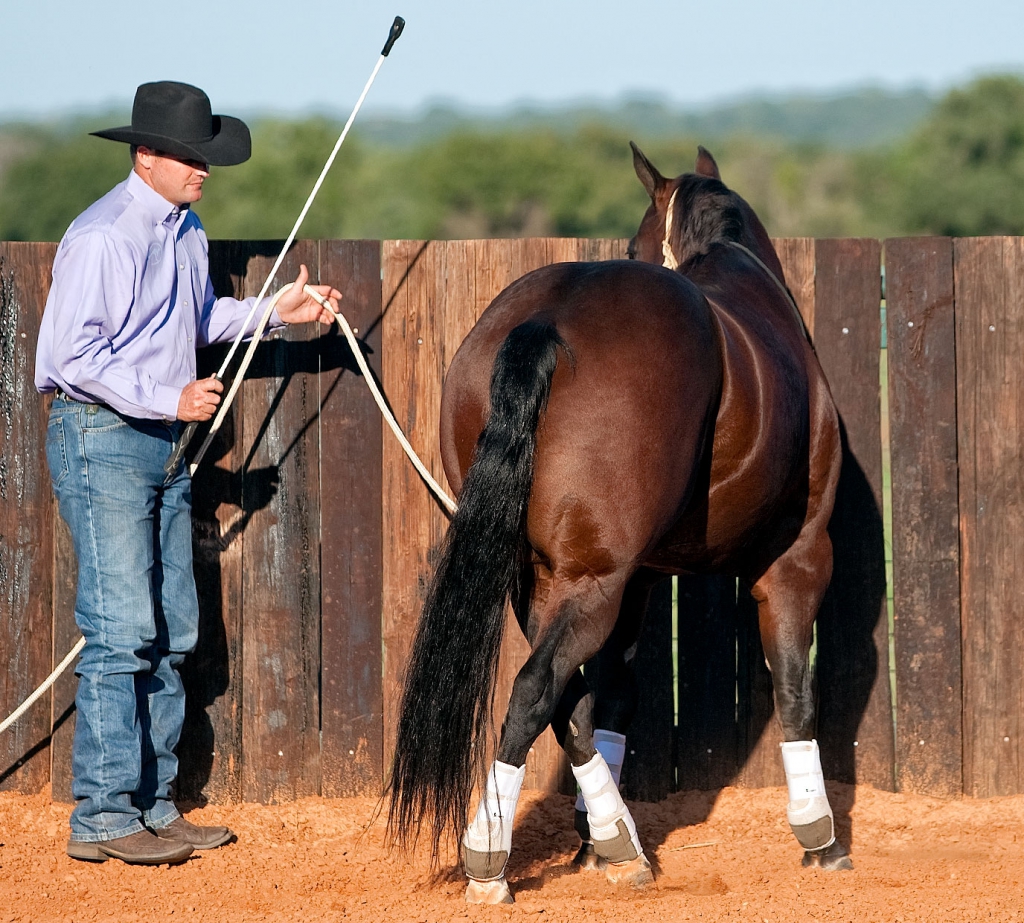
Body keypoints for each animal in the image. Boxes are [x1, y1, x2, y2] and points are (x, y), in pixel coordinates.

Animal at [387, 144, 843, 901]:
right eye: (635, 243)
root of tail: (548, 320)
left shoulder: (639, 579)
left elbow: (617, 693)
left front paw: (595, 835)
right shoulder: (797, 556)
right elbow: (794, 684)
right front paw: (819, 832)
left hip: (548, 579)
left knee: (563, 697)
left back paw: (615, 839)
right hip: (593, 581)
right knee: (534, 689)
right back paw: (492, 859)